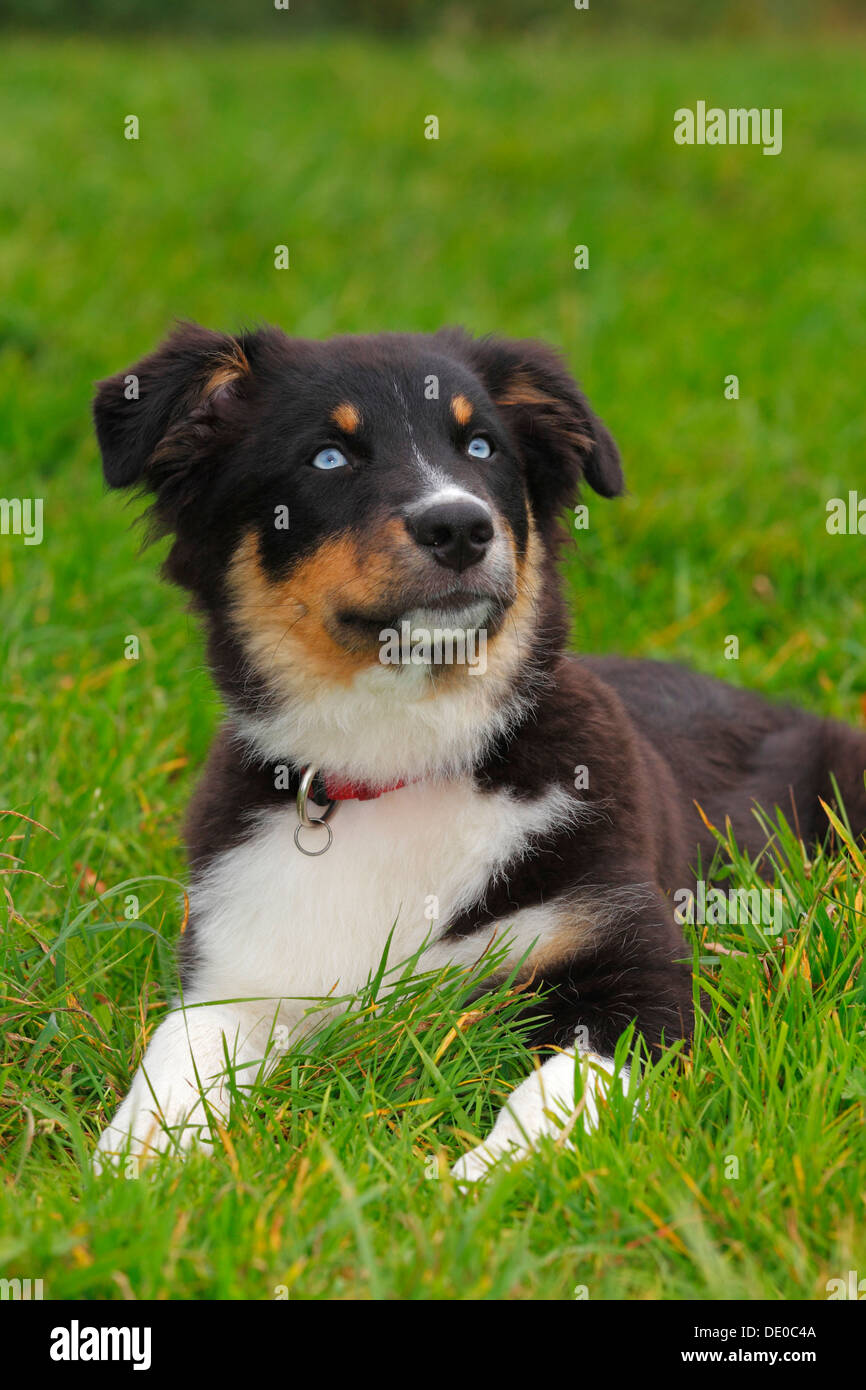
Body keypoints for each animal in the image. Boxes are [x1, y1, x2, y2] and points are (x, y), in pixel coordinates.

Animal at [91, 322, 861, 1173]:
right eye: (327, 457)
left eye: (482, 447)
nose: (460, 526)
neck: (404, 759)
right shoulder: (239, 973)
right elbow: (173, 1057)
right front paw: (135, 1167)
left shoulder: (634, 962)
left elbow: (553, 1092)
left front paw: (468, 1180)